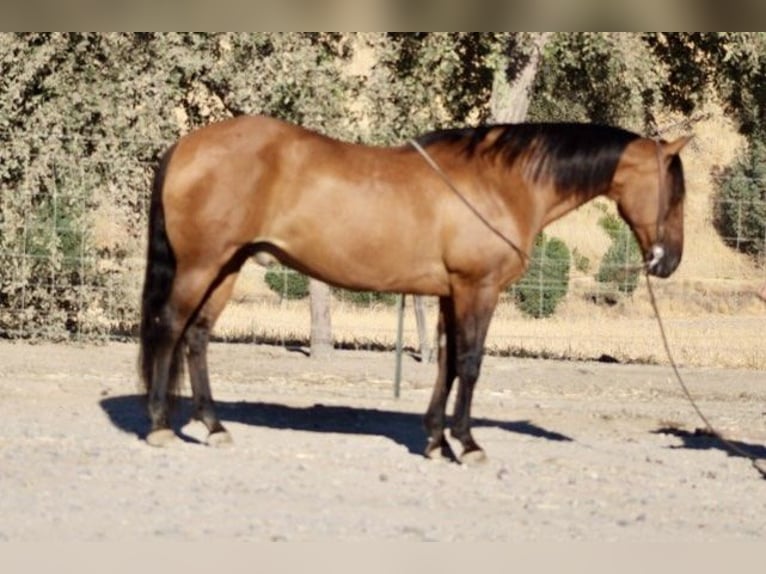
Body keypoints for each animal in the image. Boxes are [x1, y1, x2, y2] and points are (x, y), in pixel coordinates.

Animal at [139, 115, 691, 462]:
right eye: (676, 194)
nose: (668, 262)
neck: (501, 183)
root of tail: (186, 145)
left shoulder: (450, 293)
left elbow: (446, 364)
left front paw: (436, 442)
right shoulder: (477, 289)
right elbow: (470, 363)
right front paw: (468, 445)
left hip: (226, 266)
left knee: (197, 336)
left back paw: (214, 427)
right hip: (201, 265)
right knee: (170, 328)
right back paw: (161, 426)